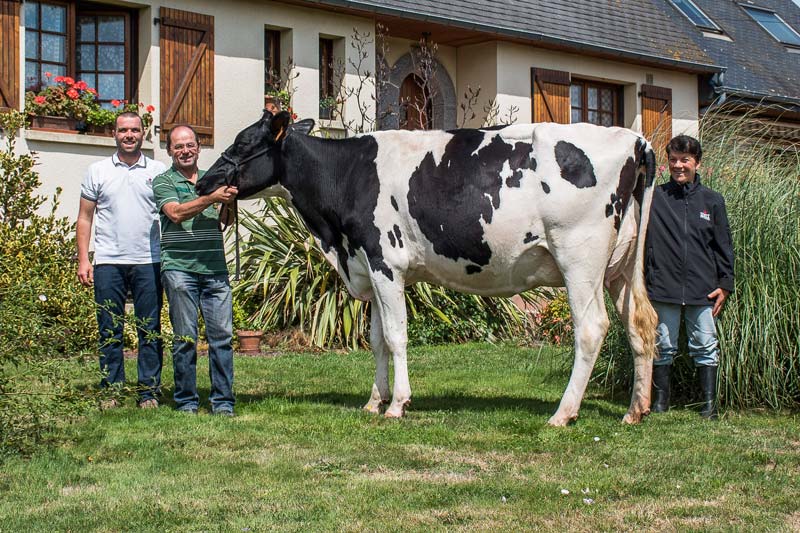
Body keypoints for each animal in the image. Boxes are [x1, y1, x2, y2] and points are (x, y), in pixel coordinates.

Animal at [198, 111, 656, 424]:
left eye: (243, 143)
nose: (203, 181)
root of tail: (633, 138)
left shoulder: (385, 261)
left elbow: (396, 336)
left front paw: (397, 404)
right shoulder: (369, 266)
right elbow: (376, 340)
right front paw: (374, 400)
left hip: (579, 257)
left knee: (592, 328)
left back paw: (563, 412)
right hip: (619, 267)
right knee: (639, 324)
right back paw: (636, 410)